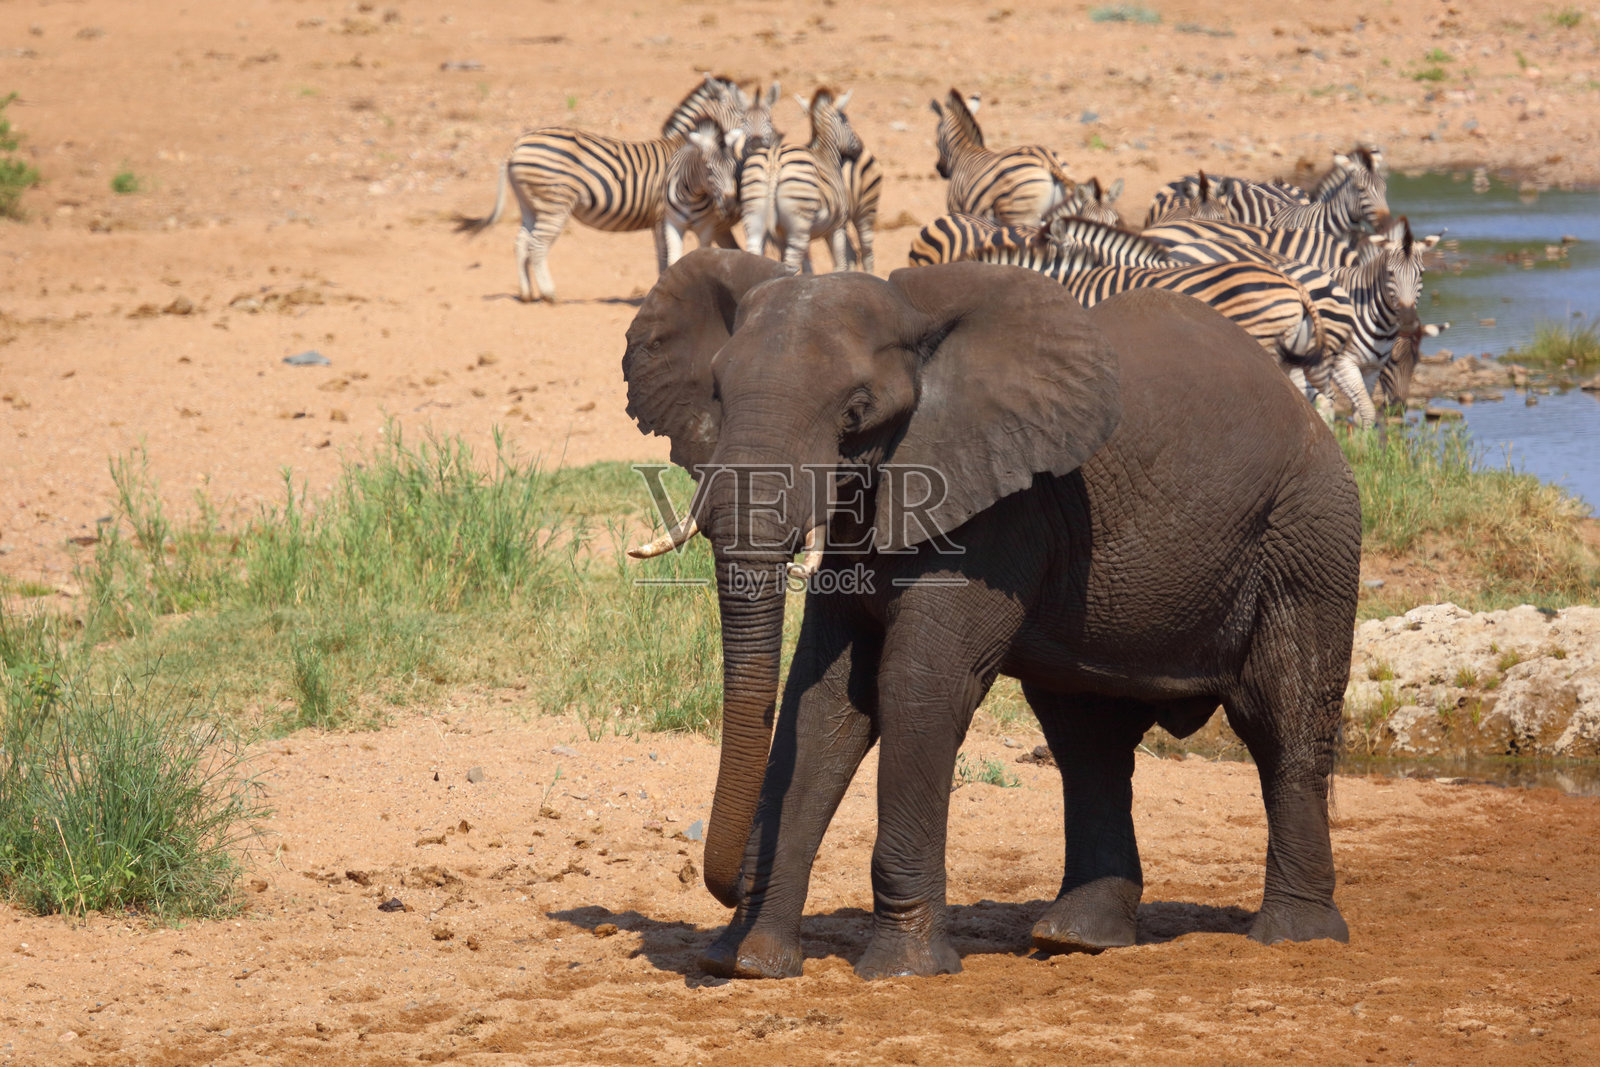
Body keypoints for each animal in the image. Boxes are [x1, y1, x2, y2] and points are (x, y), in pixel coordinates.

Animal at [620, 249, 1361, 980]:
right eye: (717, 395)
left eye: (856, 413)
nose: (725, 887)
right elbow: (824, 700)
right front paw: (747, 963)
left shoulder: (999, 511)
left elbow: (917, 687)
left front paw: (903, 971)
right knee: (1088, 739)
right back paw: (1077, 940)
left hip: (1307, 532)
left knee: (1282, 720)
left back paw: (1295, 940)